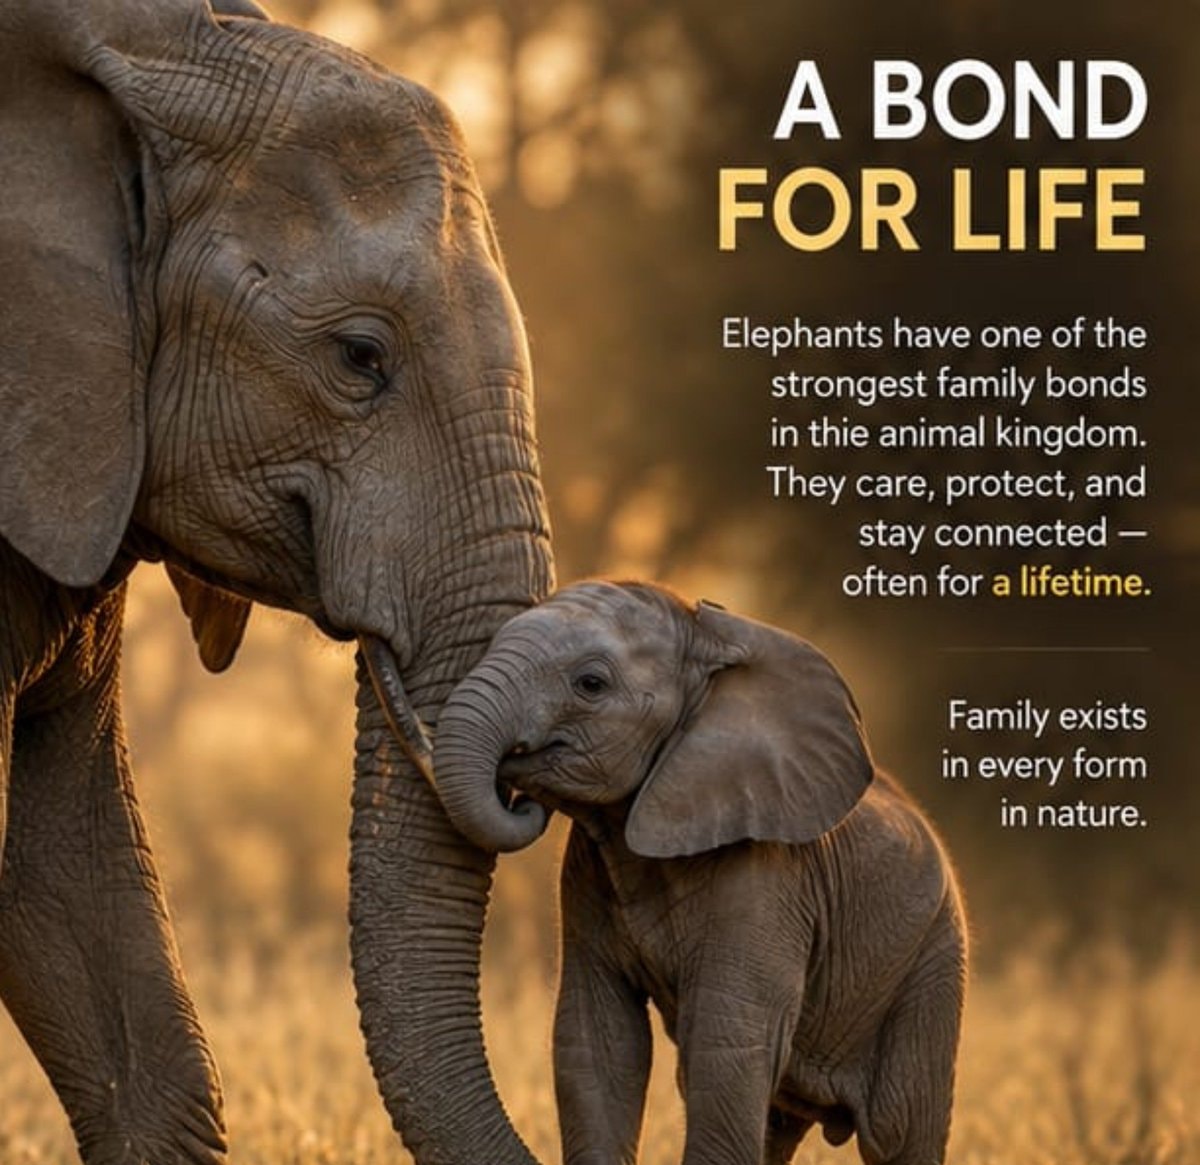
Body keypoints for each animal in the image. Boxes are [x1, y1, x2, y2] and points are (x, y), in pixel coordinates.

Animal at [432, 581, 967, 1165]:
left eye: (590, 684)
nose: (519, 797)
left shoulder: (767, 876)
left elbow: (724, 1046)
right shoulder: (584, 873)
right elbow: (598, 1042)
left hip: (931, 958)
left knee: (900, 1127)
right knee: (776, 1121)